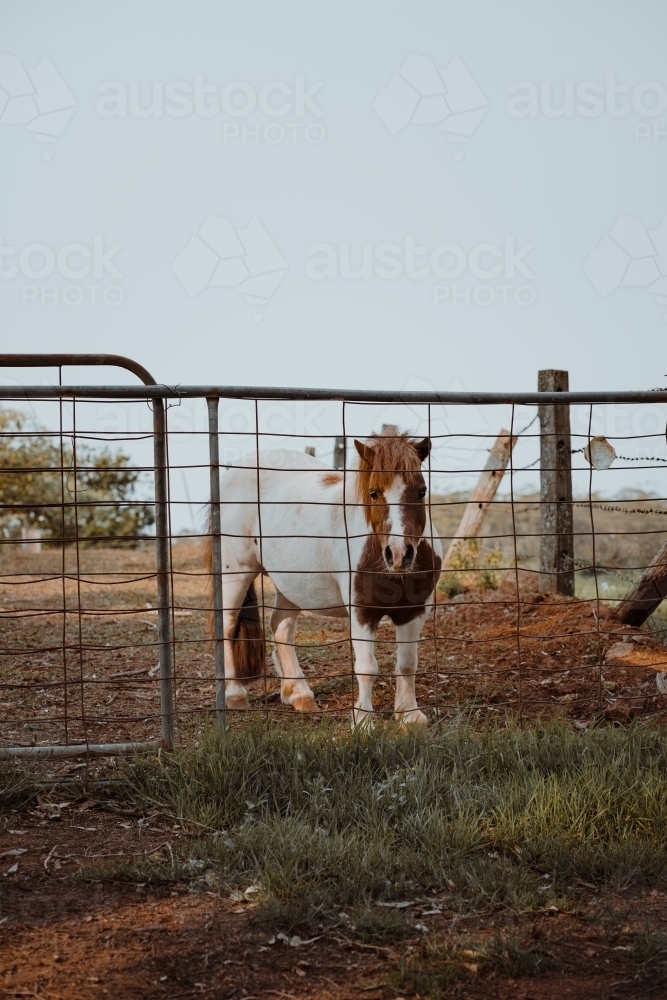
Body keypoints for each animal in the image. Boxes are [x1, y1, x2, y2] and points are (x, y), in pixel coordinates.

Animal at [206, 430, 440, 728]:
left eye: (422, 491)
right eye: (373, 493)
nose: (399, 554)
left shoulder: (414, 611)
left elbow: (408, 664)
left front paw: (409, 715)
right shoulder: (361, 612)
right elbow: (367, 668)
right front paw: (363, 721)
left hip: (291, 584)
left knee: (281, 627)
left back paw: (299, 695)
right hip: (236, 572)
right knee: (227, 624)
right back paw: (235, 695)